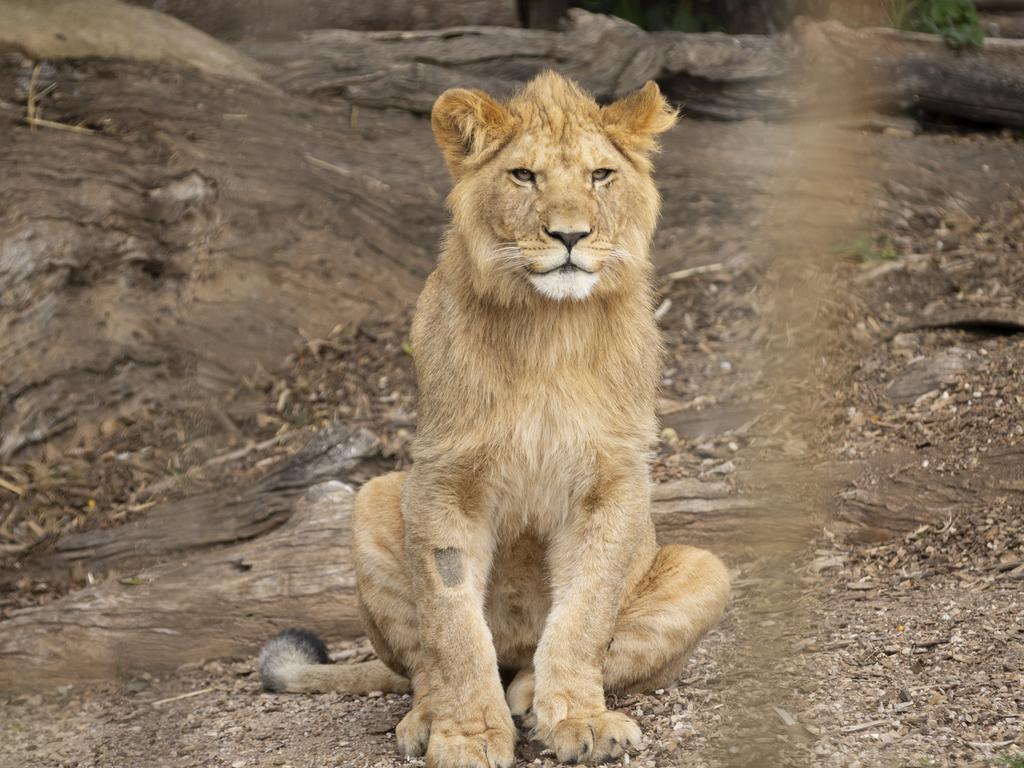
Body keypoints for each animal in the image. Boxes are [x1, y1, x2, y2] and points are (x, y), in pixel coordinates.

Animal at [260, 72, 733, 768]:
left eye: (600, 175)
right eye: (523, 176)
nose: (571, 236)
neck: (550, 329)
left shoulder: (613, 481)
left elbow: (586, 613)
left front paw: (580, 718)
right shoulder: (444, 478)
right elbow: (452, 625)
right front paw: (466, 734)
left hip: (705, 569)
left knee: (581, 652)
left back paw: (531, 696)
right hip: (373, 499)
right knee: (422, 665)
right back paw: (430, 716)